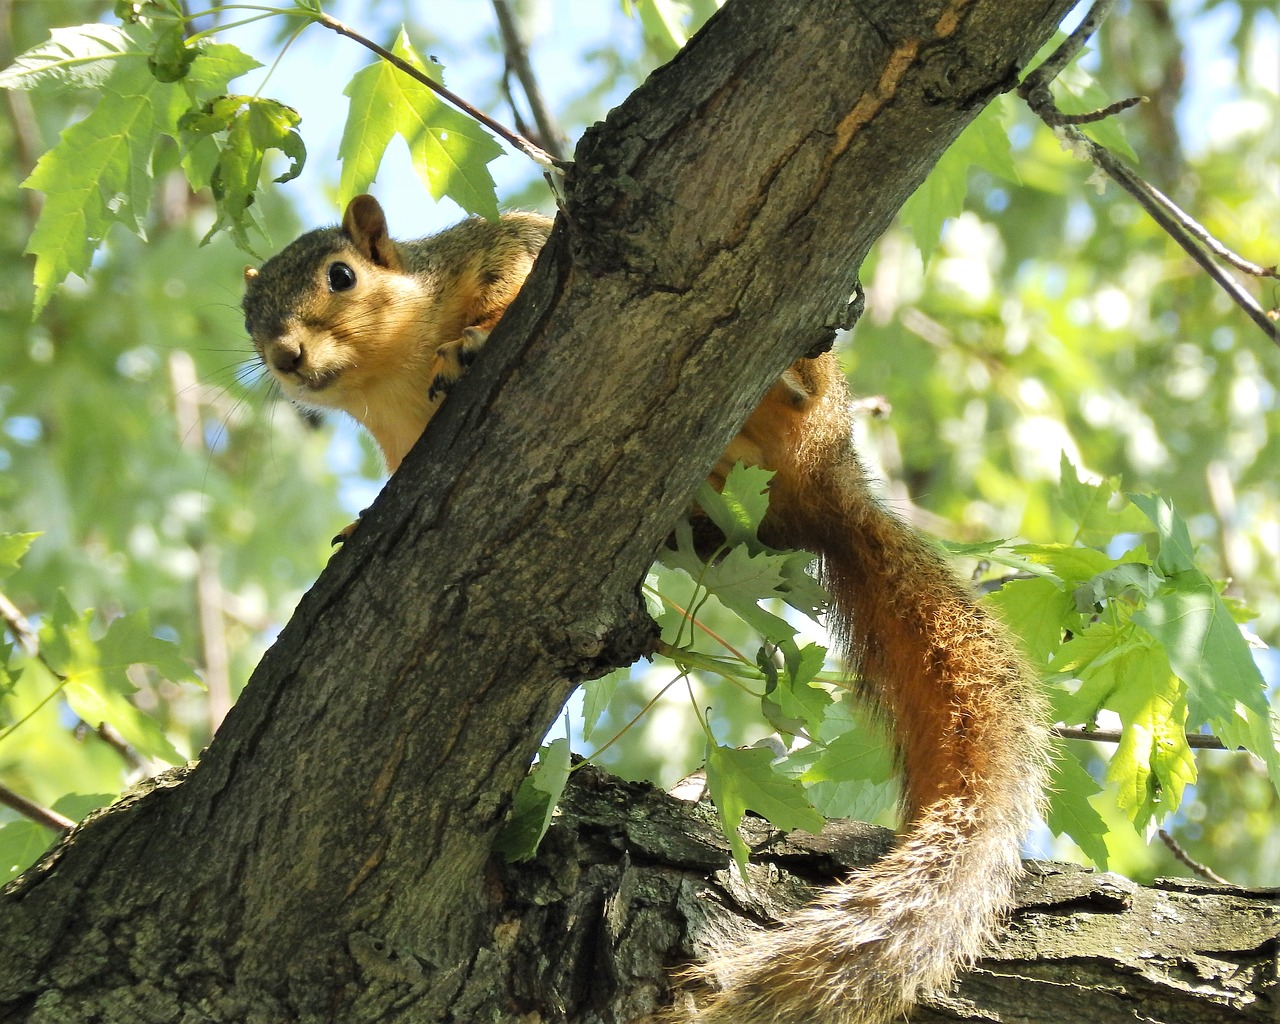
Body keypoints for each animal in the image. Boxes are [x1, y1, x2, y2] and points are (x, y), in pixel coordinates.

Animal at [241, 194, 1049, 1024]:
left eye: (341, 275)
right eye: (249, 316)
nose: (285, 355)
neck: (389, 380)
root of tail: (827, 474)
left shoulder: (496, 248)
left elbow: (508, 273)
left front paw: (472, 340)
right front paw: (355, 526)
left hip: (818, 387)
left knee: (804, 380)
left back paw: (791, 380)